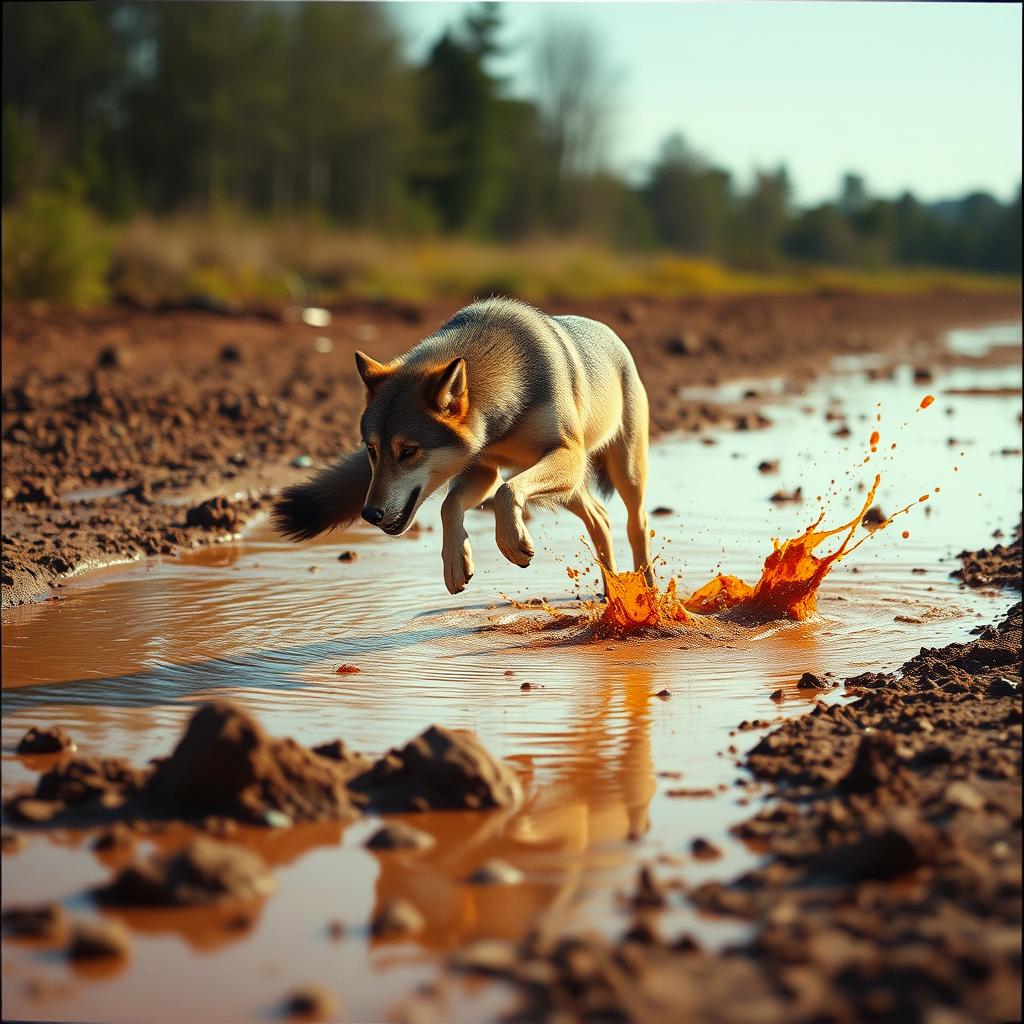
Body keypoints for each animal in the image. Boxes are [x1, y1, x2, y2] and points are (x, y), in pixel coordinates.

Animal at [272, 297, 653, 595]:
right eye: (372, 450)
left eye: (408, 451)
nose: (370, 514)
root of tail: (612, 337)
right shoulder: (484, 471)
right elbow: (449, 506)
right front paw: (456, 565)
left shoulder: (566, 456)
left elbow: (506, 494)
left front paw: (512, 543)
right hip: (566, 488)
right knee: (600, 518)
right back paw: (612, 595)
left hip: (620, 474)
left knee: (636, 525)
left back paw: (649, 597)